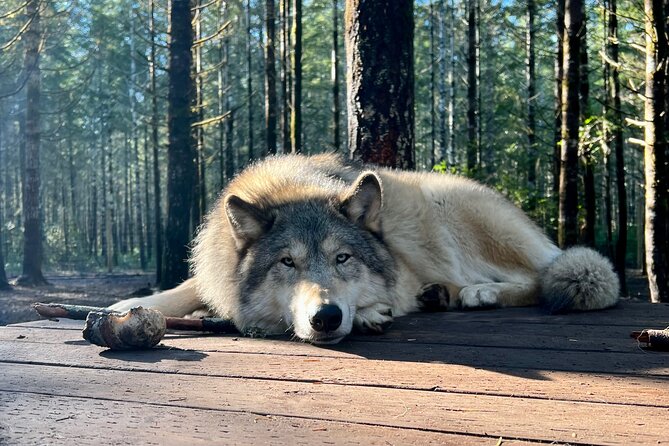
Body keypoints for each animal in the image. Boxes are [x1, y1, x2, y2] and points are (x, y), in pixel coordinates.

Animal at [110, 153, 619, 344]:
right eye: (288, 262)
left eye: (343, 258)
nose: (326, 317)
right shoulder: (211, 272)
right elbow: (182, 289)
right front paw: (125, 307)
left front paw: (373, 311)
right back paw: (444, 295)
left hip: (450, 209)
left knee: (547, 276)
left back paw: (477, 293)